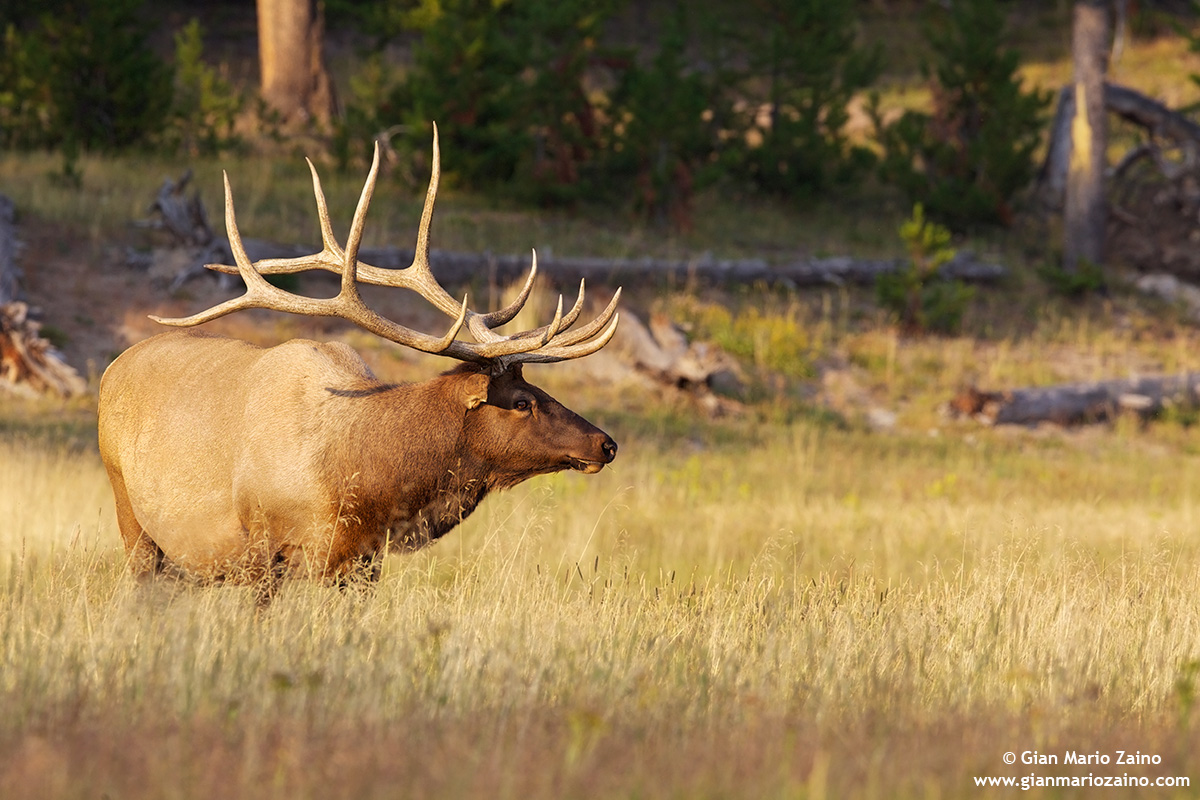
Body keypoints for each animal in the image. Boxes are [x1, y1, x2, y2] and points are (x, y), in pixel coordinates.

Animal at [97, 126, 620, 602]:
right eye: (521, 402)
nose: (607, 443)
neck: (364, 481)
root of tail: (111, 368)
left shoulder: (365, 562)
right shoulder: (262, 549)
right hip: (131, 515)